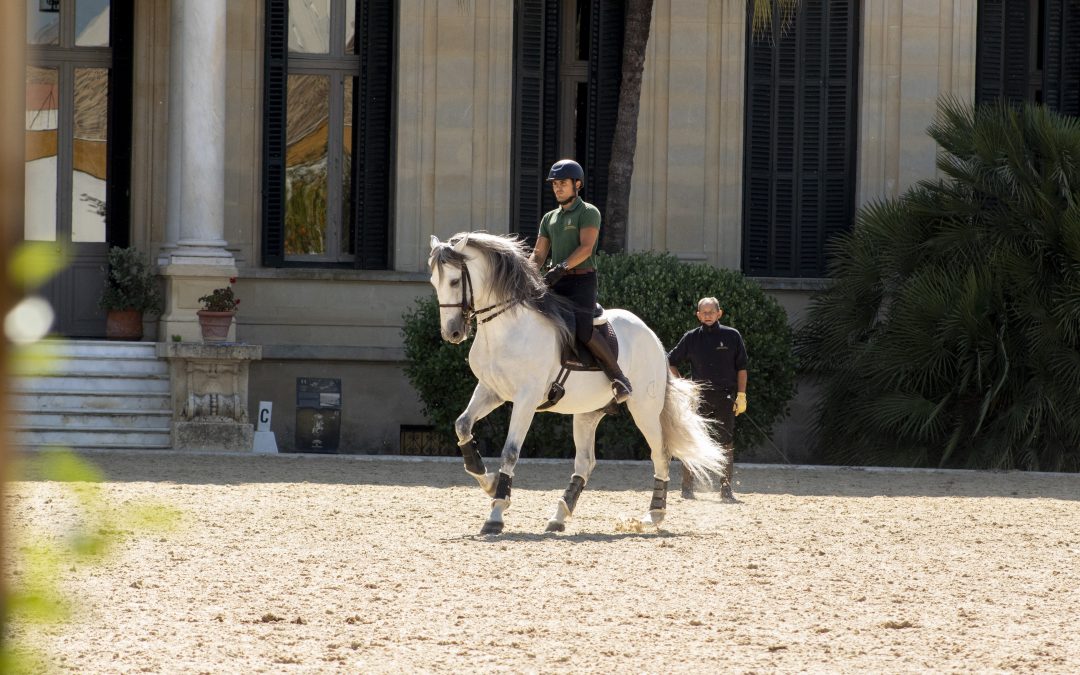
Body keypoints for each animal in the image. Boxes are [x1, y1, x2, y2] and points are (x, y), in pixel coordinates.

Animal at [425, 231, 721, 531]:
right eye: (434, 282)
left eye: (454, 281)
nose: (452, 333)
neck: (506, 327)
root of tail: (651, 335)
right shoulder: (491, 391)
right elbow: (462, 425)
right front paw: (488, 480)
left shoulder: (526, 399)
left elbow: (510, 452)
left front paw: (496, 512)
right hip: (588, 413)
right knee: (585, 462)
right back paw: (559, 514)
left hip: (644, 409)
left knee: (660, 453)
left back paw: (655, 513)